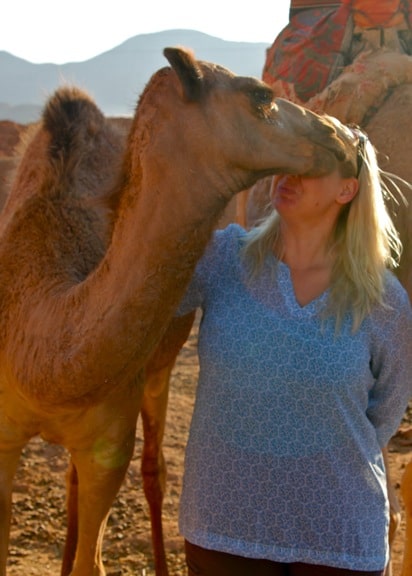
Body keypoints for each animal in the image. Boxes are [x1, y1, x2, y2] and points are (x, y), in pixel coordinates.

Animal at [0, 47, 350, 576]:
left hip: (159, 372)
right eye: (261, 94)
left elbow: (93, 559)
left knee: (152, 471)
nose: (340, 137)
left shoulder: (110, 444)